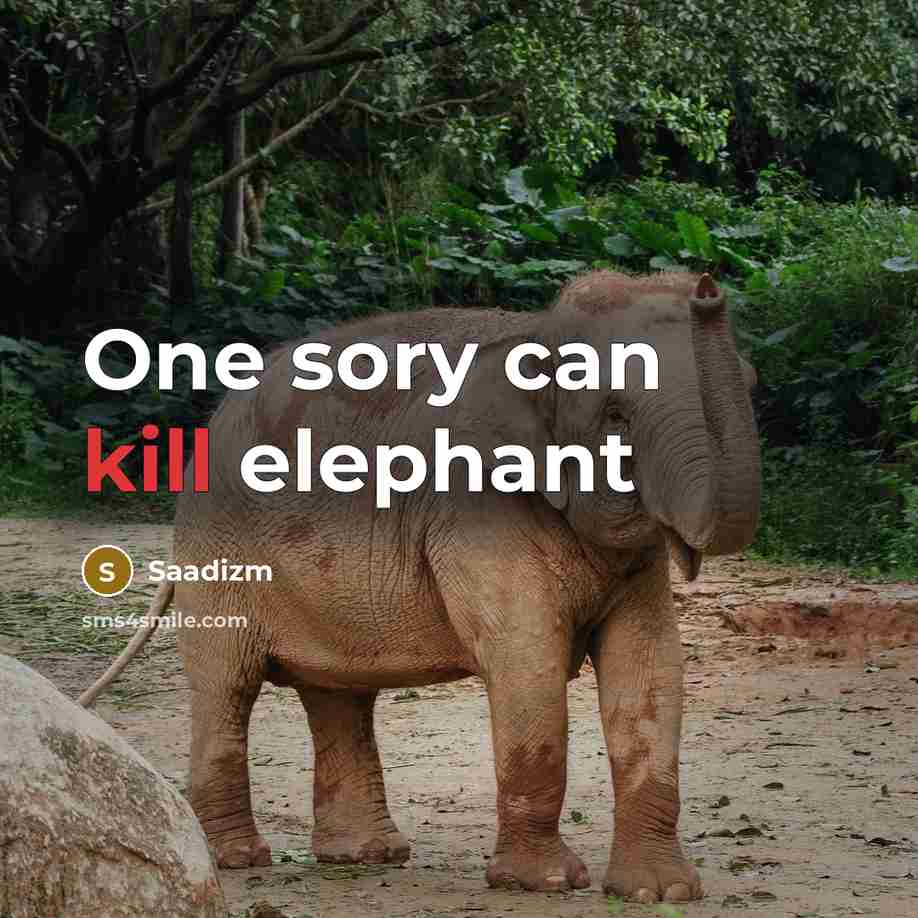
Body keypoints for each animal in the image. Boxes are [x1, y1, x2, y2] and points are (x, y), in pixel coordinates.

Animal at [80, 270, 761, 904]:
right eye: (616, 414)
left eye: (749, 385)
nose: (706, 287)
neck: (537, 332)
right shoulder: (476, 506)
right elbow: (527, 658)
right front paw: (542, 884)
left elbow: (649, 669)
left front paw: (660, 893)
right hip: (219, 552)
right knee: (228, 684)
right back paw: (240, 859)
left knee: (337, 693)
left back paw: (365, 857)